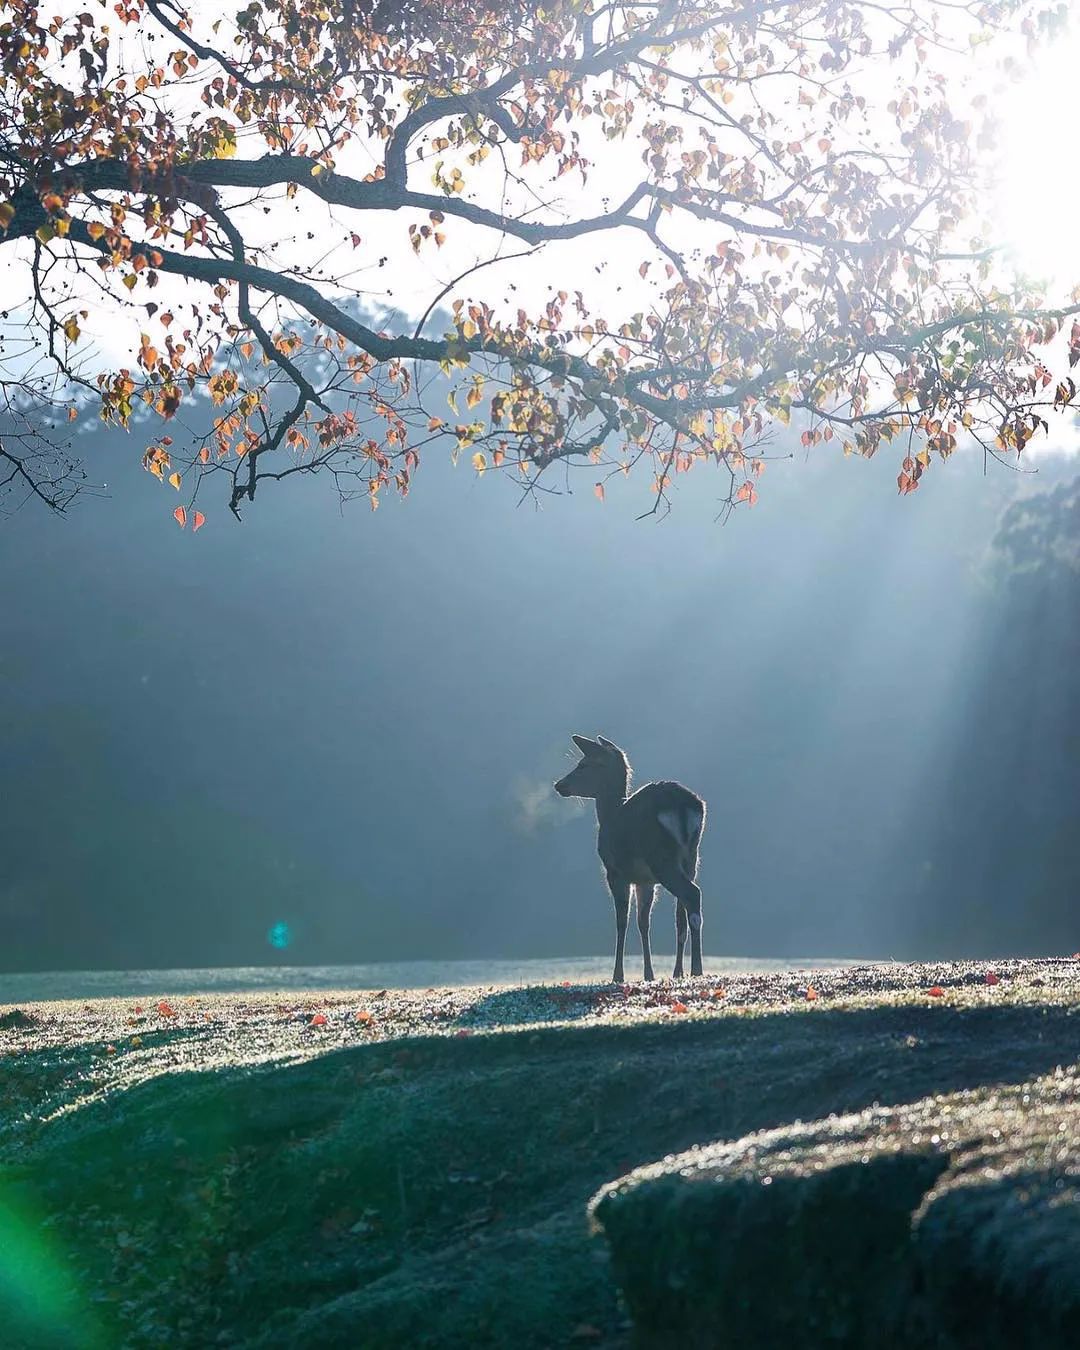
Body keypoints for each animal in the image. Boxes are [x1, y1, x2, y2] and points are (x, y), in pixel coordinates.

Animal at [556, 739, 707, 982]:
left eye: (583, 764)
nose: (559, 785)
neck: (608, 816)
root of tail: (682, 807)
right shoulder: (645, 880)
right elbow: (643, 922)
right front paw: (649, 974)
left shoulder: (615, 871)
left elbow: (622, 921)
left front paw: (618, 975)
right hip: (692, 857)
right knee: (682, 913)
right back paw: (679, 972)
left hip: (661, 857)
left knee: (692, 894)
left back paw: (697, 969)